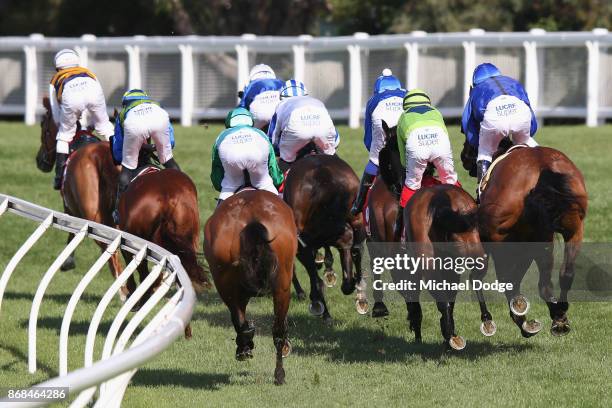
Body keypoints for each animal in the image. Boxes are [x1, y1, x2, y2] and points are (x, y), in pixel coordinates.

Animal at [35, 96, 126, 300]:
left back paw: (124, 292)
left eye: (44, 127)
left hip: (95, 217)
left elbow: (72, 231)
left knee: (110, 249)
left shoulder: (70, 207)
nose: (40, 161)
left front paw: (68, 261)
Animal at [204, 190, 298, 384]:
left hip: (225, 281)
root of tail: (251, 215)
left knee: (241, 319)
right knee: (277, 330)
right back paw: (278, 373)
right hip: (281, 286)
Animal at [376, 122, 494, 350]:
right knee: (474, 278)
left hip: (427, 261)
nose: (392, 186)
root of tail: (442, 200)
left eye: (384, 158)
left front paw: (419, 332)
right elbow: (451, 298)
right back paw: (484, 319)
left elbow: (416, 303)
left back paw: (451, 337)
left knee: (440, 297)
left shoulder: (402, 267)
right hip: (474, 249)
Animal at [460, 141, 588, 338]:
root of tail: (542, 166)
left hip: (513, 240)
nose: (463, 157)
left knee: (522, 282)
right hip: (572, 229)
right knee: (564, 274)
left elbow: (500, 279)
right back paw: (559, 315)